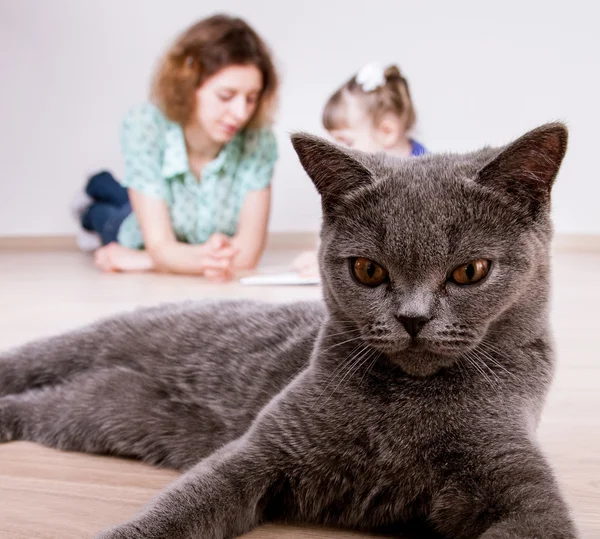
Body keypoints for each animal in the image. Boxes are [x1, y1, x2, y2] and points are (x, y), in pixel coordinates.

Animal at [2, 123, 580, 539]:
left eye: (470, 272)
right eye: (368, 270)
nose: (413, 319)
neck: (405, 409)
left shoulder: (523, 492)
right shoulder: (256, 452)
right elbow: (183, 505)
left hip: (97, 409)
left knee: (47, 404)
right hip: (89, 346)